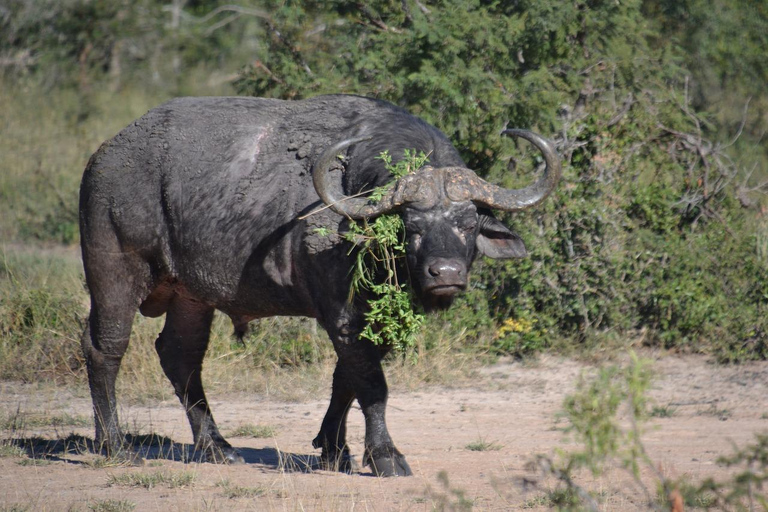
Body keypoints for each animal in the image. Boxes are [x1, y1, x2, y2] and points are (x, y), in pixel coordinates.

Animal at [79, 95, 560, 476]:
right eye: (411, 227)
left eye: (468, 223)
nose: (446, 274)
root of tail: (103, 156)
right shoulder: (344, 316)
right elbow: (372, 385)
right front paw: (385, 456)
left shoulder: (363, 322)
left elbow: (345, 379)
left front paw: (333, 449)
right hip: (114, 272)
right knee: (105, 348)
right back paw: (115, 445)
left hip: (190, 295)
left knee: (180, 356)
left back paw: (217, 447)